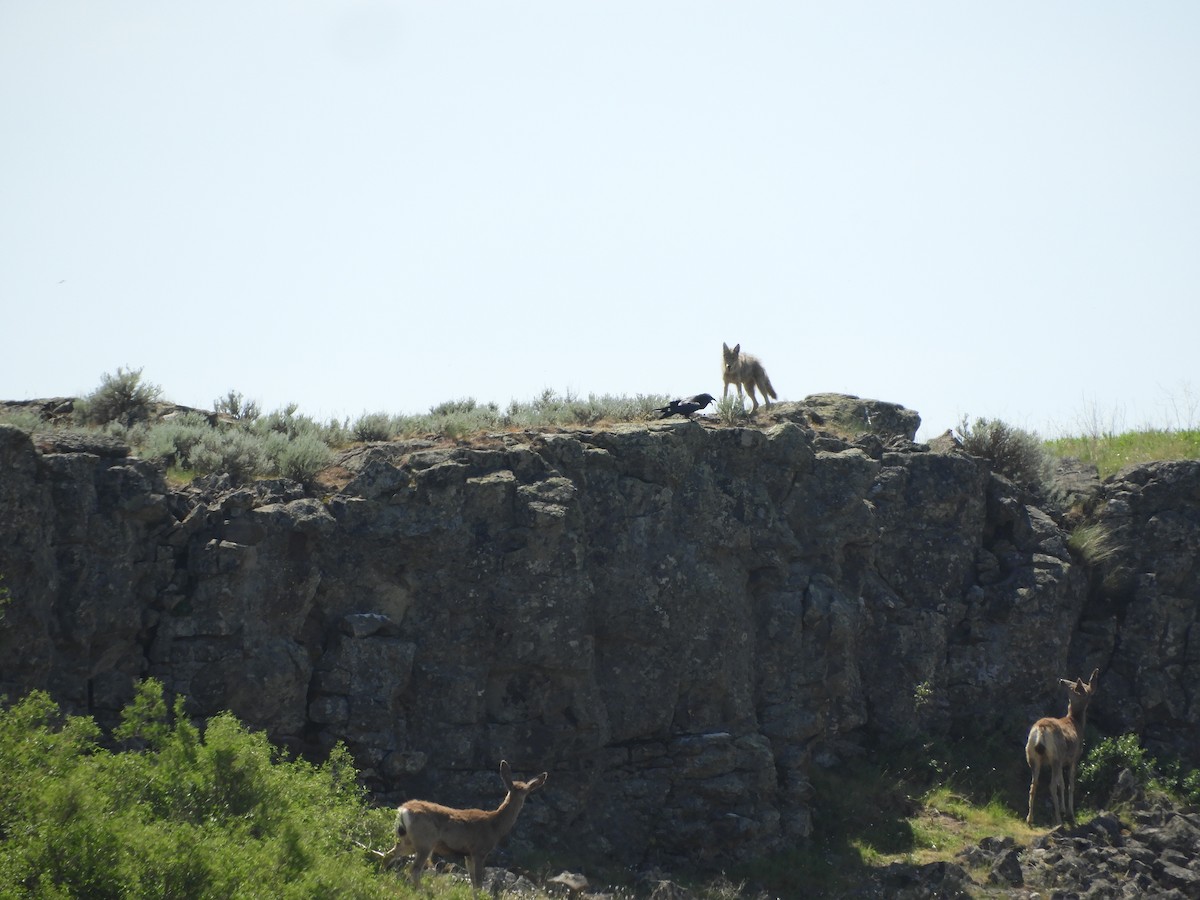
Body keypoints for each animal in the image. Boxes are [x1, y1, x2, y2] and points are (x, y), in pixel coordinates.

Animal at [381, 763, 549, 897]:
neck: (495, 825)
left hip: (407, 841)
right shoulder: (479, 850)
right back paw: (422, 892)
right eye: (526, 792)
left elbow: (473, 881)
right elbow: (479, 882)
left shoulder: (467, 854)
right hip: (425, 841)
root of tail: (403, 809)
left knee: (388, 855)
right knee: (414, 869)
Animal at [1027, 667, 1099, 830]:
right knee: (1051, 785)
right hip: (1055, 756)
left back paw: (1030, 819)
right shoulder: (1074, 758)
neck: (1075, 722)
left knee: (1034, 785)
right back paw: (1059, 821)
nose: (1061, 680)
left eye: (1073, 684)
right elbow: (1070, 784)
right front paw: (1070, 813)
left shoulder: (1062, 762)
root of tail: (1040, 730)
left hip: (1033, 756)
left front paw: (1063, 808)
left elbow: (1062, 783)